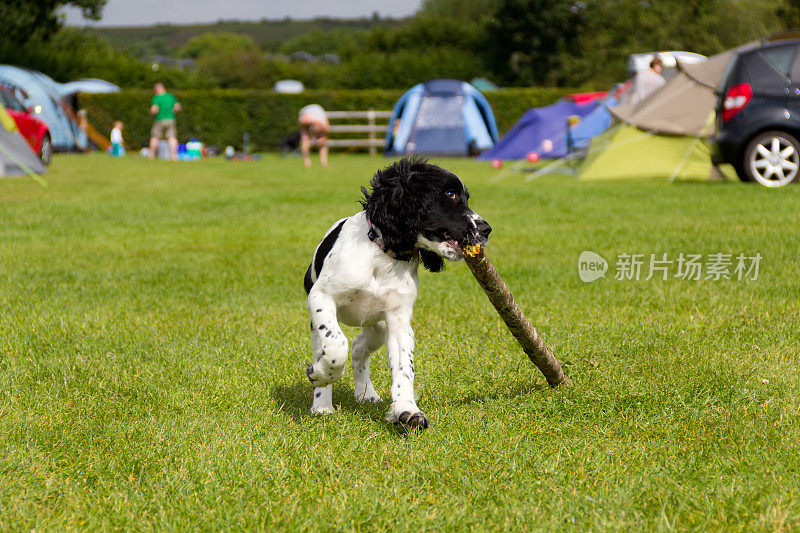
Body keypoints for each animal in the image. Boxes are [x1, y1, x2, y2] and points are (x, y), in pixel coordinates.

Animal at [304, 156, 490, 426]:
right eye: (450, 194)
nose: (486, 230)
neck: (382, 256)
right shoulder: (322, 296)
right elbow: (336, 345)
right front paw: (318, 374)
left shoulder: (398, 319)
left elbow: (404, 367)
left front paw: (407, 409)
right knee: (330, 347)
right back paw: (322, 403)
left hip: (378, 326)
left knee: (359, 348)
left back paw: (366, 393)